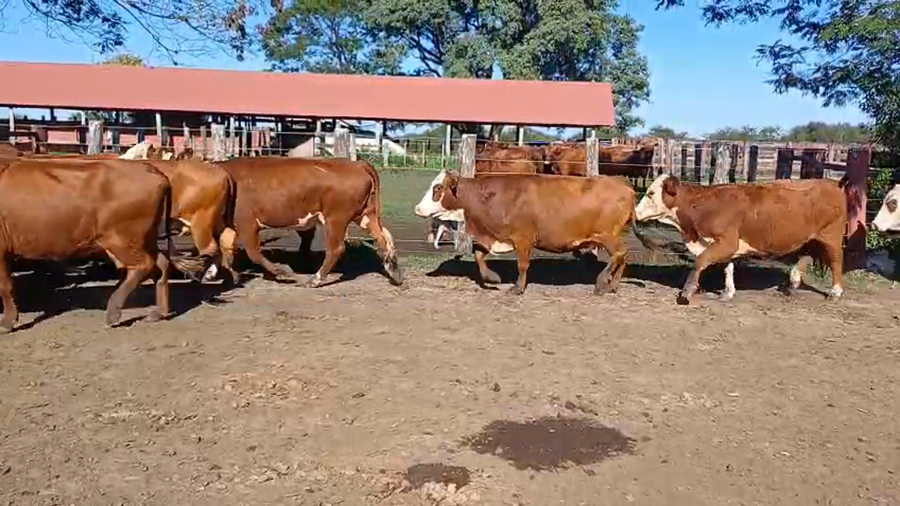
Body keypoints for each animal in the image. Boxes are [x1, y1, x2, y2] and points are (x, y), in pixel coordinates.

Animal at [0, 158, 207, 332]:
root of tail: (151, 169)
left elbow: (5, 285)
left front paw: (7, 322)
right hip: (143, 238)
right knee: (161, 264)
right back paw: (158, 313)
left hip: (121, 239)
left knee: (142, 266)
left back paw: (113, 313)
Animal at [214, 157, 402, 287]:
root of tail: (356, 164)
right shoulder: (232, 225)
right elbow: (225, 249)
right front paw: (227, 276)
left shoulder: (247, 223)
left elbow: (253, 252)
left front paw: (282, 271)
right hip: (365, 215)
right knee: (384, 238)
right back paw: (395, 272)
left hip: (336, 219)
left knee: (336, 249)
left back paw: (315, 280)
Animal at [413, 170, 651, 295]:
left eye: (437, 188)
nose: (417, 208)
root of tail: (622, 182)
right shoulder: (493, 236)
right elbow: (479, 255)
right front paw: (493, 278)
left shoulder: (523, 238)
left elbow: (523, 264)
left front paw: (517, 288)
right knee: (622, 256)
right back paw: (613, 284)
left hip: (607, 236)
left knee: (619, 254)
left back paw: (602, 282)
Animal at [634, 173, 849, 304]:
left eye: (651, 193)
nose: (635, 212)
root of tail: (833, 183)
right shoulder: (726, 246)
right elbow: (728, 267)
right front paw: (728, 292)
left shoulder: (727, 242)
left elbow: (700, 261)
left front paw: (687, 292)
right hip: (809, 238)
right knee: (807, 255)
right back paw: (793, 283)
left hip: (831, 237)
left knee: (836, 261)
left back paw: (835, 292)